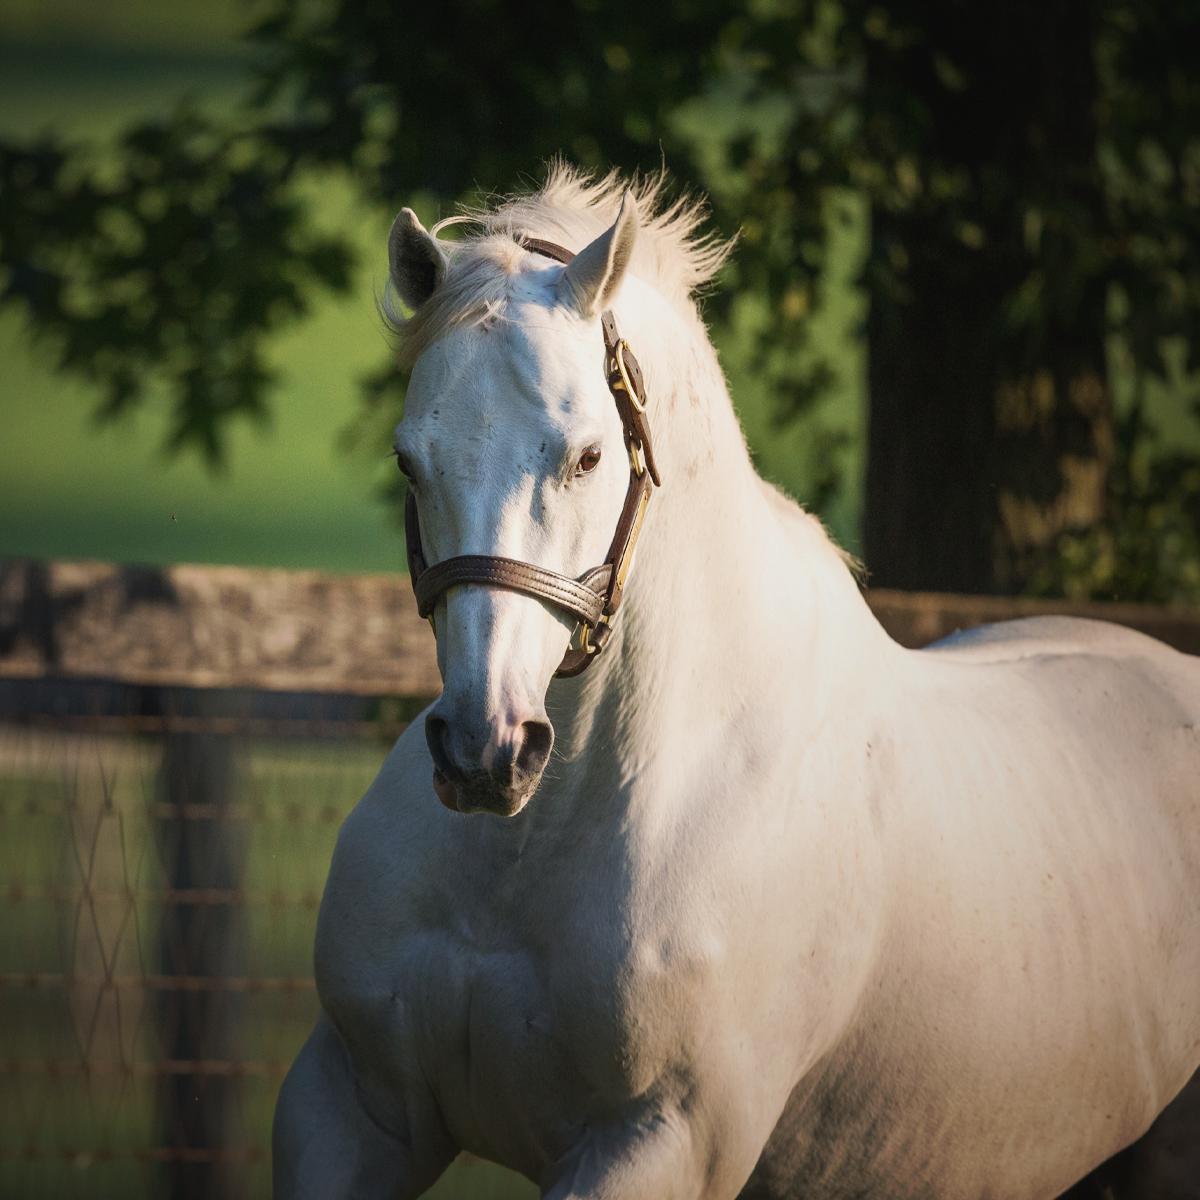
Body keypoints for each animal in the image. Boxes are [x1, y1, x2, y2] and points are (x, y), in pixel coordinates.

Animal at [272, 164, 1200, 1195]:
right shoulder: (350, 1105)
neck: (528, 854)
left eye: (588, 455)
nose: (485, 750)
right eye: (409, 458)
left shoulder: (657, 1141)